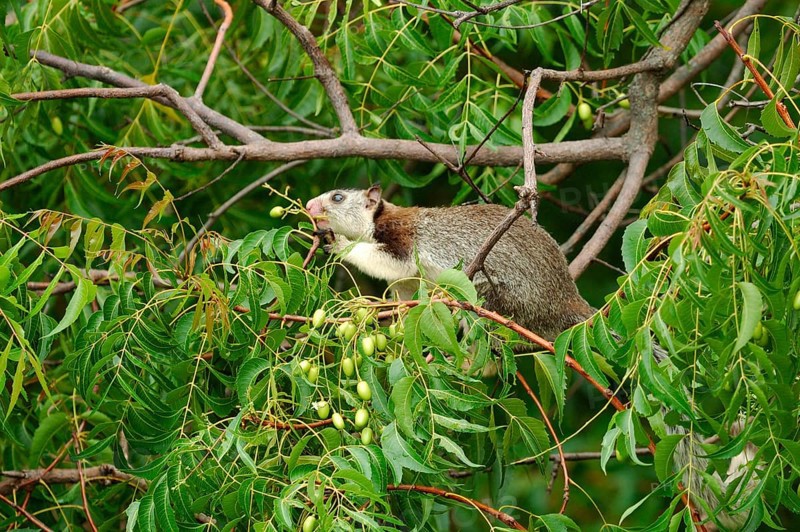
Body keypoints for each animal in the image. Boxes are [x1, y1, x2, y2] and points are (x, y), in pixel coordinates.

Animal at [305, 185, 756, 530]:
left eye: (338, 196)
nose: (309, 207)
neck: (380, 221)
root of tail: (566, 305)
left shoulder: (402, 241)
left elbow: (376, 257)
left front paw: (337, 243)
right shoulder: (408, 279)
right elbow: (401, 293)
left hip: (490, 298)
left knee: (489, 351)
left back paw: (466, 361)